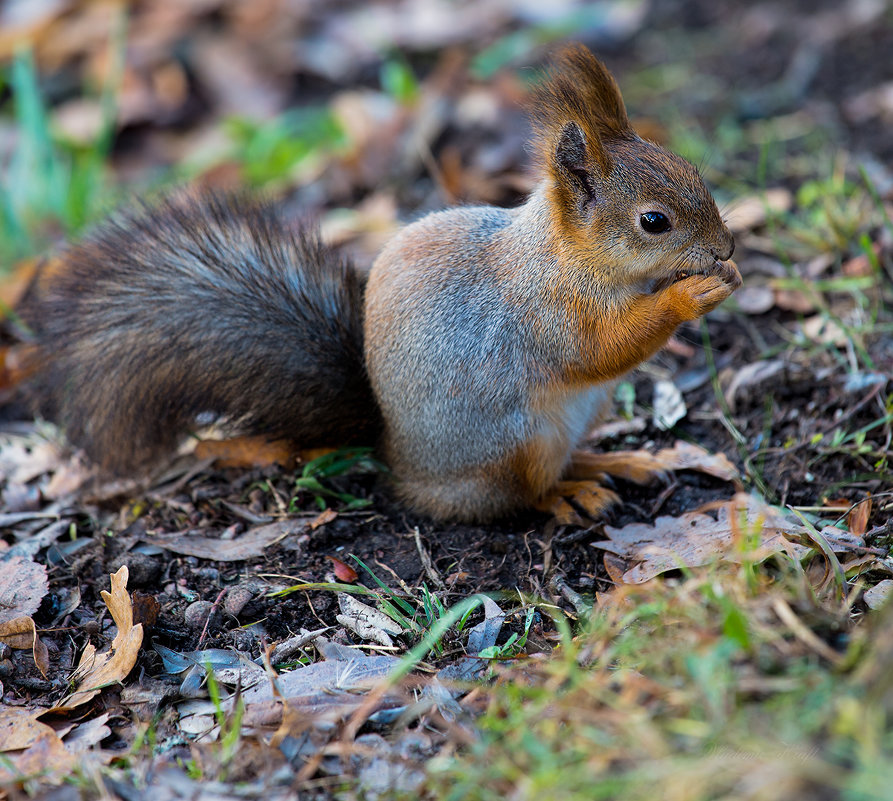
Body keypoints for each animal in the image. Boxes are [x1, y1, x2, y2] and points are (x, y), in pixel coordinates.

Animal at [17, 43, 740, 520]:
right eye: (653, 221)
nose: (726, 247)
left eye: (688, 168)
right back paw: (568, 493)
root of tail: (398, 457)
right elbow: (601, 348)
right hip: (519, 442)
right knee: (517, 495)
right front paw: (690, 293)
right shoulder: (548, 314)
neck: (565, 257)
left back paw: (612, 462)